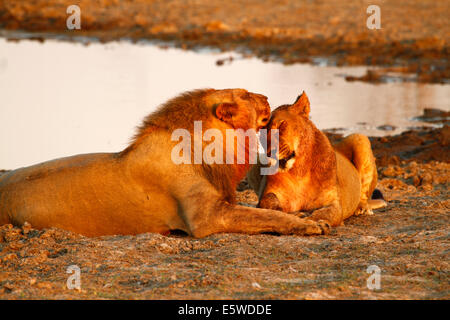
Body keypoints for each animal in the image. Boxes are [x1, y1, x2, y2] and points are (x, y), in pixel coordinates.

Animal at [248, 92, 384, 228]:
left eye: (281, 125)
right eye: (262, 134)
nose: (269, 153)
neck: (299, 170)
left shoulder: (333, 202)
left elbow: (326, 213)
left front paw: (313, 221)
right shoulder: (269, 193)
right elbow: (268, 202)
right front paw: (293, 215)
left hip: (359, 138)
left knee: (364, 194)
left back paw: (362, 208)